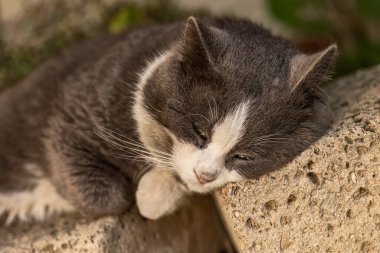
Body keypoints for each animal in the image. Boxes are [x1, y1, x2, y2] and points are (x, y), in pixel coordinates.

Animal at [0, 16, 336, 224]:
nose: (205, 175)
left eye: (244, 156)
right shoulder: (72, 116)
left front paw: (155, 189)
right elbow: (109, 197)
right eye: (199, 130)